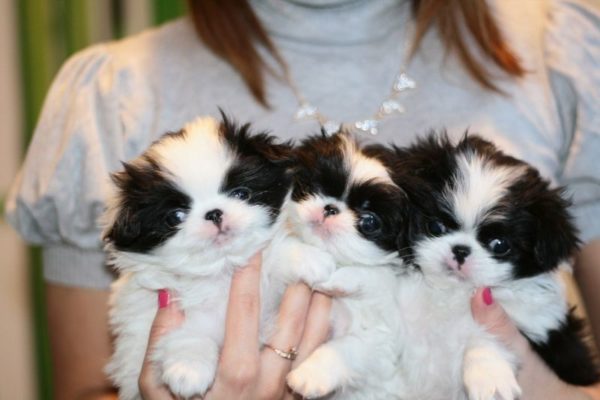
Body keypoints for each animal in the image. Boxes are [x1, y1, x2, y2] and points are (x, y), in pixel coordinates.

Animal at [103, 115, 296, 400]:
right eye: (175, 217)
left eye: (241, 194)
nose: (214, 213)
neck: (221, 272)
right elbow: (193, 331)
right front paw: (189, 367)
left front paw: (307, 259)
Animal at [284, 132, 410, 400]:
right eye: (311, 188)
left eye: (369, 222)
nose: (330, 208)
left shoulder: (380, 343)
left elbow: (347, 348)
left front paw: (309, 375)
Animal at [386, 134, 596, 400]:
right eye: (435, 227)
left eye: (499, 245)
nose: (461, 250)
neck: (453, 294)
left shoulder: (540, 330)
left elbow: (485, 337)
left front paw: (489, 375)